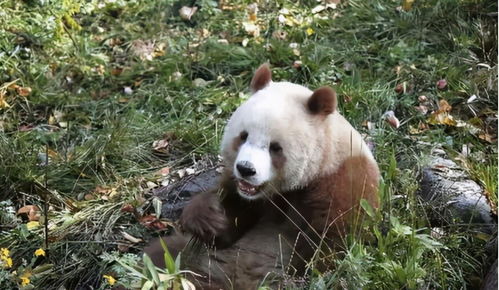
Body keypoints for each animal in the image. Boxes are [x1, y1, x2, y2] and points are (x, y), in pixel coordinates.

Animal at [145, 64, 378, 290]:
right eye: (243, 136)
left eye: (275, 147)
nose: (246, 169)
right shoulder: (243, 193)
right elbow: (228, 227)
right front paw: (209, 216)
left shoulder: (343, 183)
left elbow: (326, 246)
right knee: (164, 255)